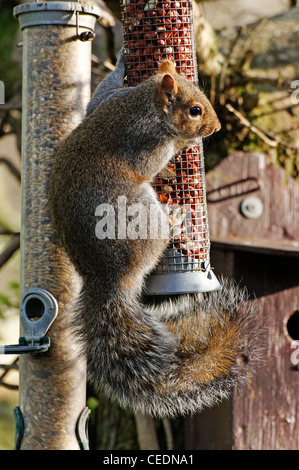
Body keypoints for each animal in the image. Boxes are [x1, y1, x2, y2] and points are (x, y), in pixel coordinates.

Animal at [49, 50, 260, 418]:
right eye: (195, 110)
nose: (216, 128)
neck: (143, 105)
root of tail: (108, 280)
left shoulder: (107, 101)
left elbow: (98, 98)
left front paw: (122, 64)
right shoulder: (143, 143)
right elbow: (150, 164)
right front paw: (184, 143)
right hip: (139, 211)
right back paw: (174, 220)